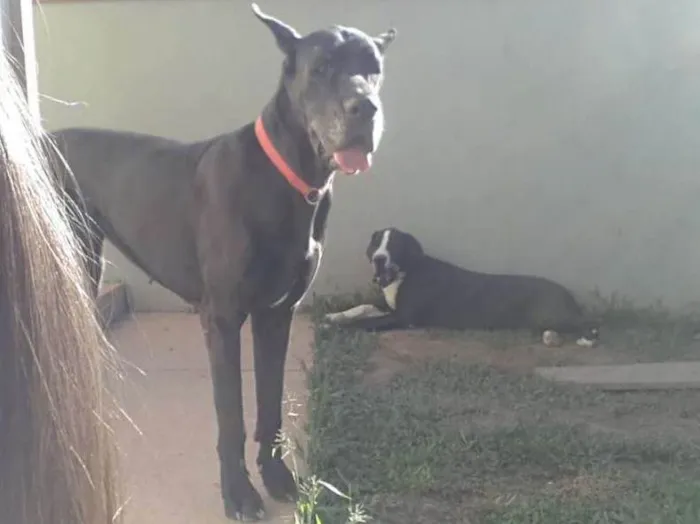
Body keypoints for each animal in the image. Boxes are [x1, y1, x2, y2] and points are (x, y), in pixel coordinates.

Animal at [326, 226, 600, 346]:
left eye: (394, 244)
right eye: (376, 243)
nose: (379, 258)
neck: (407, 271)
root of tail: (566, 293)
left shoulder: (404, 318)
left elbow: (366, 323)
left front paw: (340, 328)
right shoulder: (389, 307)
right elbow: (362, 307)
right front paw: (335, 316)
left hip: (549, 314)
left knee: (588, 323)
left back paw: (585, 337)